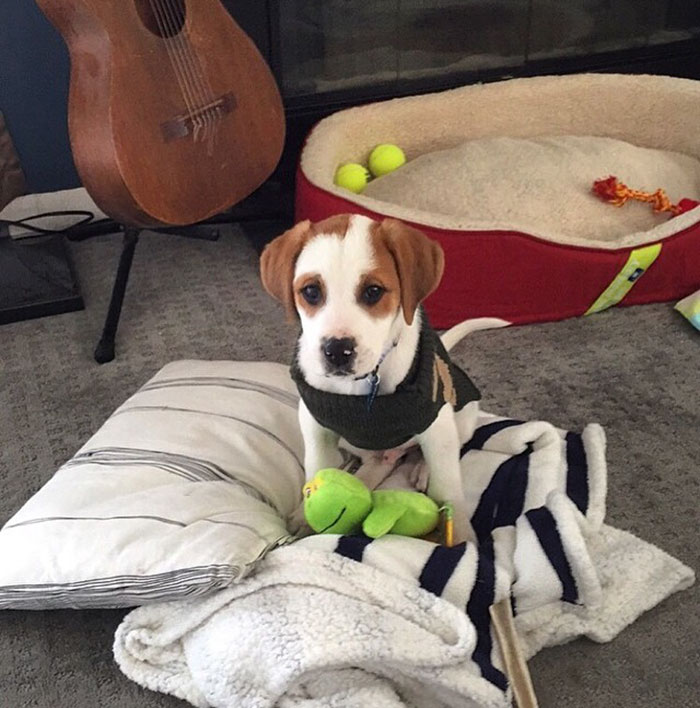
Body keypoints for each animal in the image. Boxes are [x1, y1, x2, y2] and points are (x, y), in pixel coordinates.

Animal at [260, 213, 484, 540]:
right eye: (311, 292)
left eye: (373, 292)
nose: (337, 351)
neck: (363, 386)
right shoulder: (315, 423)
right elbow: (316, 468)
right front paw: (307, 517)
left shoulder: (436, 420)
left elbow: (449, 486)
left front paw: (463, 538)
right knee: (378, 463)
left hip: (461, 418)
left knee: (438, 451)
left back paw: (422, 470)